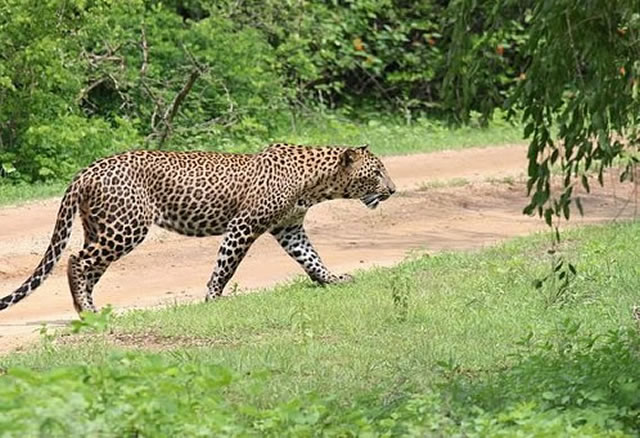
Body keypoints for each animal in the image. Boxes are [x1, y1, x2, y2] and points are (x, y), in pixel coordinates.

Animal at [0, 143, 396, 316]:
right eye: (376, 172)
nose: (392, 190)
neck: (318, 184)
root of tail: (86, 170)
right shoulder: (244, 224)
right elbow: (226, 264)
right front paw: (212, 298)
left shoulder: (289, 229)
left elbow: (312, 259)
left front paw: (332, 280)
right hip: (126, 227)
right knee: (76, 261)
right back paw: (86, 310)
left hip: (102, 227)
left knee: (90, 267)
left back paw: (91, 309)